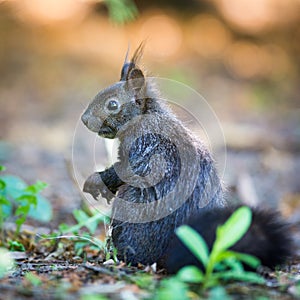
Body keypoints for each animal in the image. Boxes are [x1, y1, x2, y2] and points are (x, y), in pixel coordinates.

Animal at [81, 45, 294, 274]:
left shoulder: (144, 145)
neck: (146, 116)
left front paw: (96, 181)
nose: (84, 119)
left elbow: (127, 170)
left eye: (112, 105)